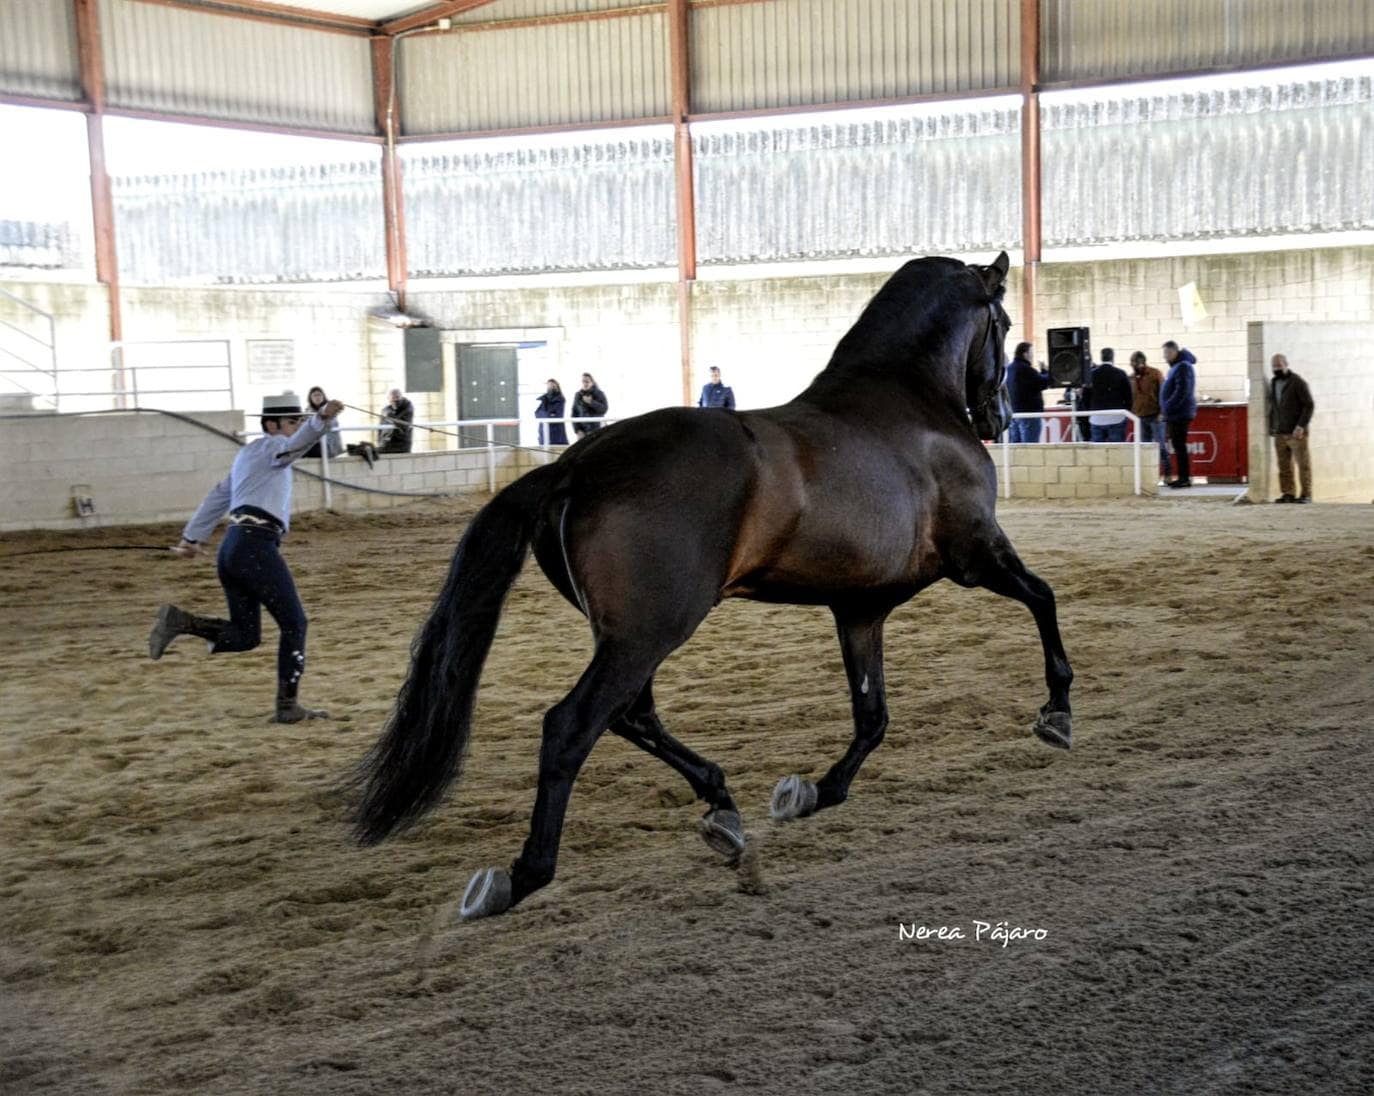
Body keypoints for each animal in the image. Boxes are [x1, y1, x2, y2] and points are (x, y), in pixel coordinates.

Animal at [351, 252, 1071, 922]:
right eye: (1005, 324)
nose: (1000, 417)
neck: (908, 405)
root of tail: (575, 465)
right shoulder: (977, 555)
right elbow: (1043, 598)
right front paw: (1057, 714)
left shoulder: (860, 608)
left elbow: (873, 717)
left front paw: (813, 792)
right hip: (652, 629)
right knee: (575, 724)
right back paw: (522, 874)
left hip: (629, 632)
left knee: (631, 714)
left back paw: (723, 809)